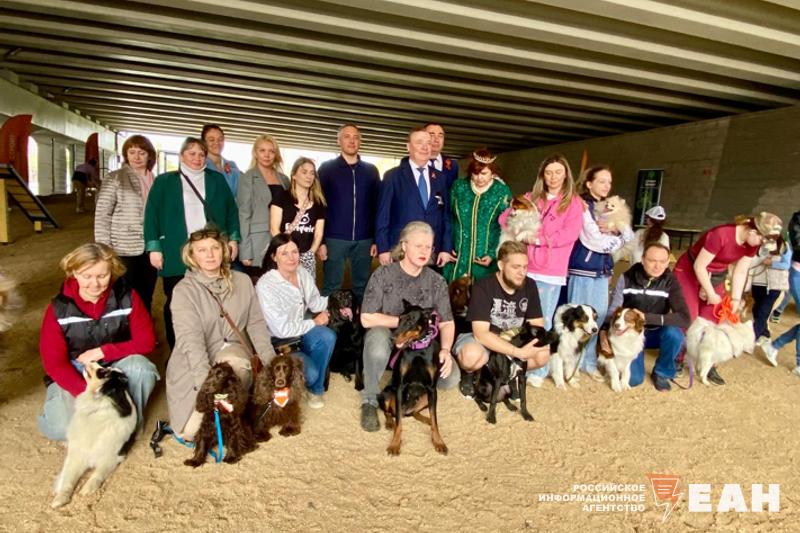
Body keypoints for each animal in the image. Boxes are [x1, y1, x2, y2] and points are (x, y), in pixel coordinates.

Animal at [51, 362, 137, 508]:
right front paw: (60, 499)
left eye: (102, 371)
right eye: (104, 367)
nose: (91, 361)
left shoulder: (112, 457)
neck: (98, 407)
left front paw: (86, 489)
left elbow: (98, 474)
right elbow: (68, 479)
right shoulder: (77, 456)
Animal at [378, 300, 447, 456]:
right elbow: (399, 425)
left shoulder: (432, 389)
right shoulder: (400, 387)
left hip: (425, 397)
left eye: (410, 321)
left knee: (415, 413)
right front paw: (395, 445)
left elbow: (435, 419)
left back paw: (426, 419)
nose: (392, 338)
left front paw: (438, 441)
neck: (418, 350)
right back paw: (390, 422)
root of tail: (406, 411)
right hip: (387, 393)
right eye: (399, 319)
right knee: (389, 412)